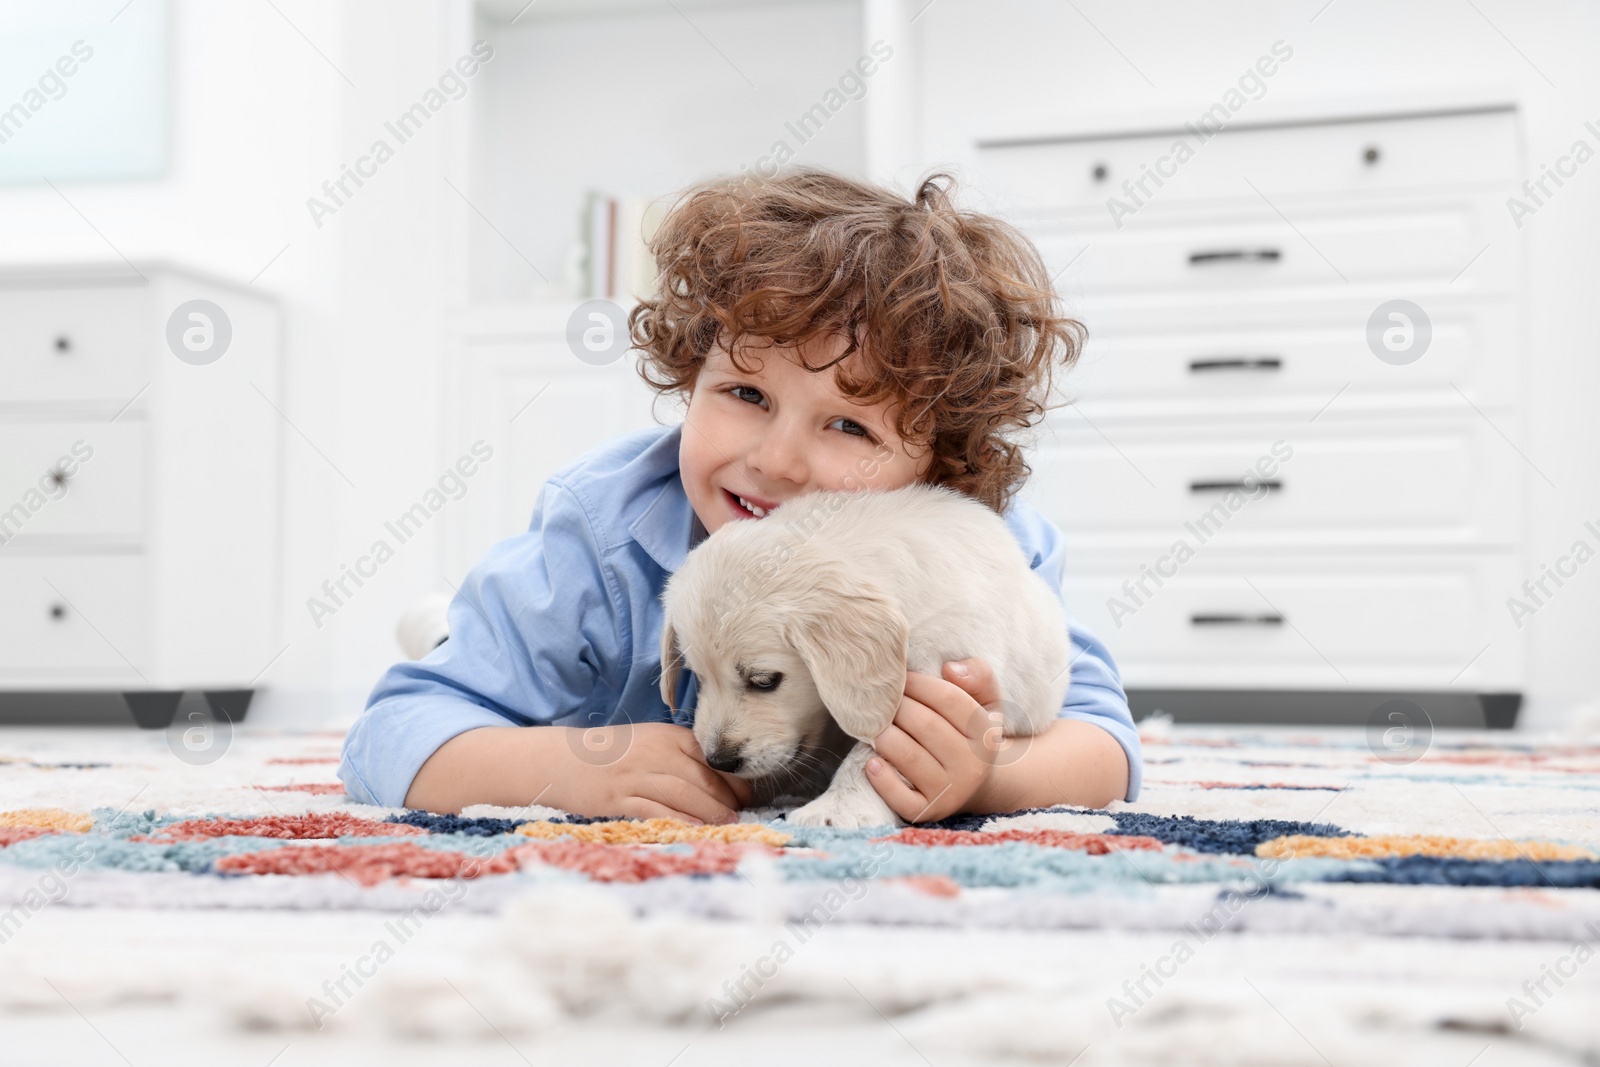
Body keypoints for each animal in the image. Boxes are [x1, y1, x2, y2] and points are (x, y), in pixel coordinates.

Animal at [662, 483, 1075, 825]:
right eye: (699, 676)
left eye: (764, 681)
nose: (720, 761)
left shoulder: (938, 668)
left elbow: (875, 751)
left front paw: (839, 808)